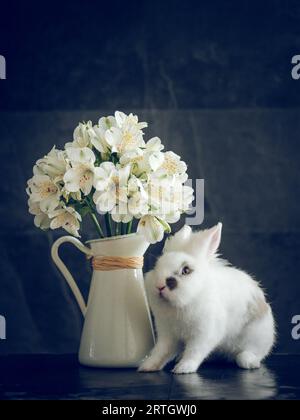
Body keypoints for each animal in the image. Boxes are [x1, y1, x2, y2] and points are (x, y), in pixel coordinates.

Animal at [139, 223, 276, 374]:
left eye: (186, 270)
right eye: (157, 266)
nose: (159, 286)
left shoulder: (204, 333)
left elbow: (194, 351)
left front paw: (183, 368)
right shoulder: (167, 334)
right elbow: (161, 351)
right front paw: (147, 366)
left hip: (256, 336)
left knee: (252, 352)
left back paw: (249, 362)